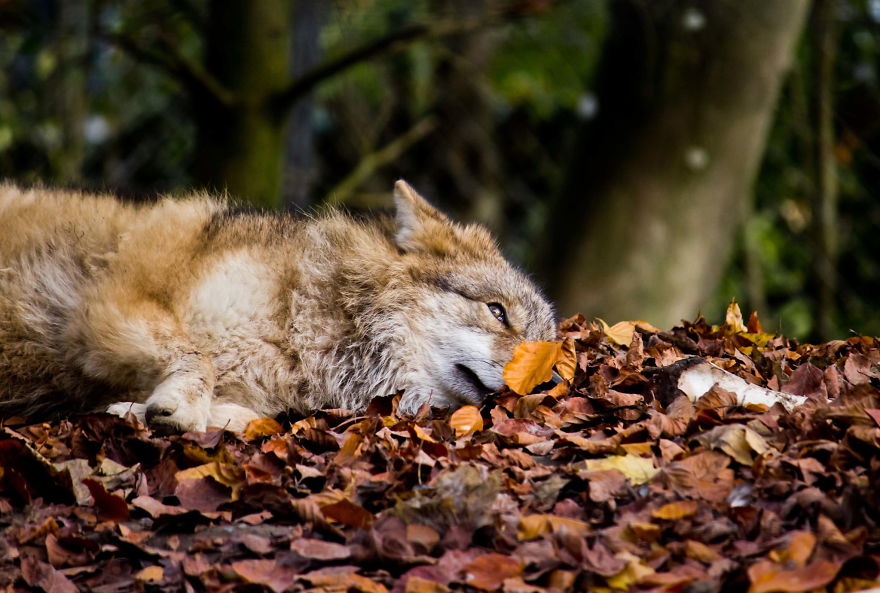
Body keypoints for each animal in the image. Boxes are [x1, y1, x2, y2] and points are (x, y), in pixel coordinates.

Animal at [0, 181, 556, 432]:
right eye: (498, 312)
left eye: (546, 345)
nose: (547, 382)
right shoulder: (109, 305)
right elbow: (196, 356)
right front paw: (176, 405)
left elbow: (246, 417)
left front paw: (145, 409)